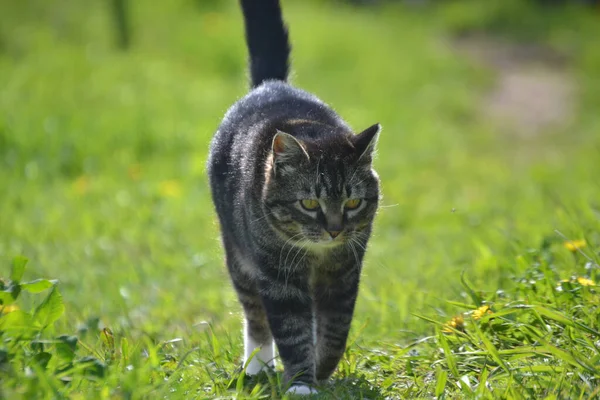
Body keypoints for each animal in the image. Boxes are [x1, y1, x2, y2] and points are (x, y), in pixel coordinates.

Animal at [206, 0, 382, 394]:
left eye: (352, 203)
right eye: (309, 204)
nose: (334, 230)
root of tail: (273, 84)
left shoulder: (344, 272)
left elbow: (334, 330)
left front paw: (322, 370)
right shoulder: (279, 277)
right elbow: (291, 331)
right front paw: (302, 383)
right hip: (239, 258)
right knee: (255, 318)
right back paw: (257, 367)